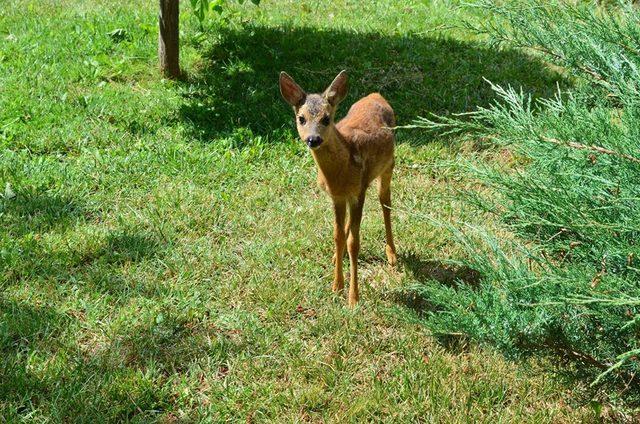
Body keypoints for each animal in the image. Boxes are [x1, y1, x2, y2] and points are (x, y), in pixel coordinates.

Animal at [278, 71, 398, 306]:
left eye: (326, 118)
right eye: (301, 118)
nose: (313, 139)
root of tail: (376, 94)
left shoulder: (358, 191)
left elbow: (354, 242)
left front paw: (353, 298)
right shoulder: (336, 196)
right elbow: (338, 236)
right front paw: (336, 286)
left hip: (388, 165)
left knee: (385, 202)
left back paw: (392, 254)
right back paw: (337, 256)